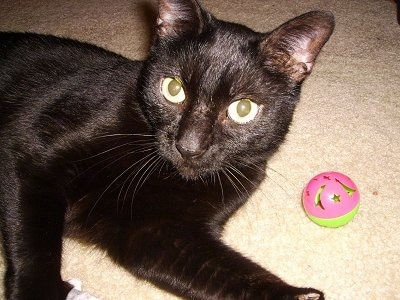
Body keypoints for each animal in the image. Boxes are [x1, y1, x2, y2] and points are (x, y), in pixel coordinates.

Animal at [0, 0, 334, 300]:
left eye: (243, 109)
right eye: (173, 90)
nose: (189, 146)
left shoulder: (159, 234)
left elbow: (229, 275)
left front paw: (297, 295)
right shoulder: (33, 157)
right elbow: (36, 241)